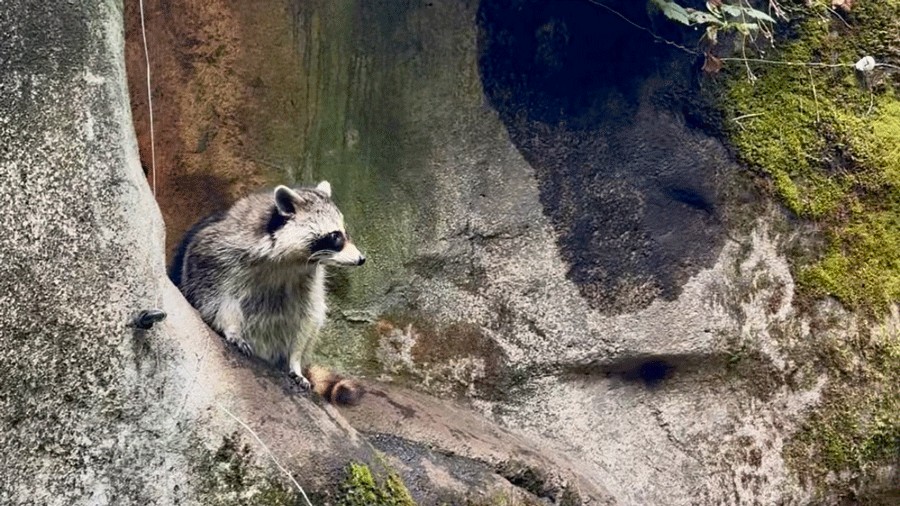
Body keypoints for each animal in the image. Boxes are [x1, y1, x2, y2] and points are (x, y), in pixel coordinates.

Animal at [170, 181, 366, 405]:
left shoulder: (309, 280)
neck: (291, 260)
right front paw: (231, 329)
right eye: (335, 236)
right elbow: (217, 298)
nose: (361, 259)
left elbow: (308, 317)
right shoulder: (216, 255)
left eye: (345, 232)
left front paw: (294, 361)